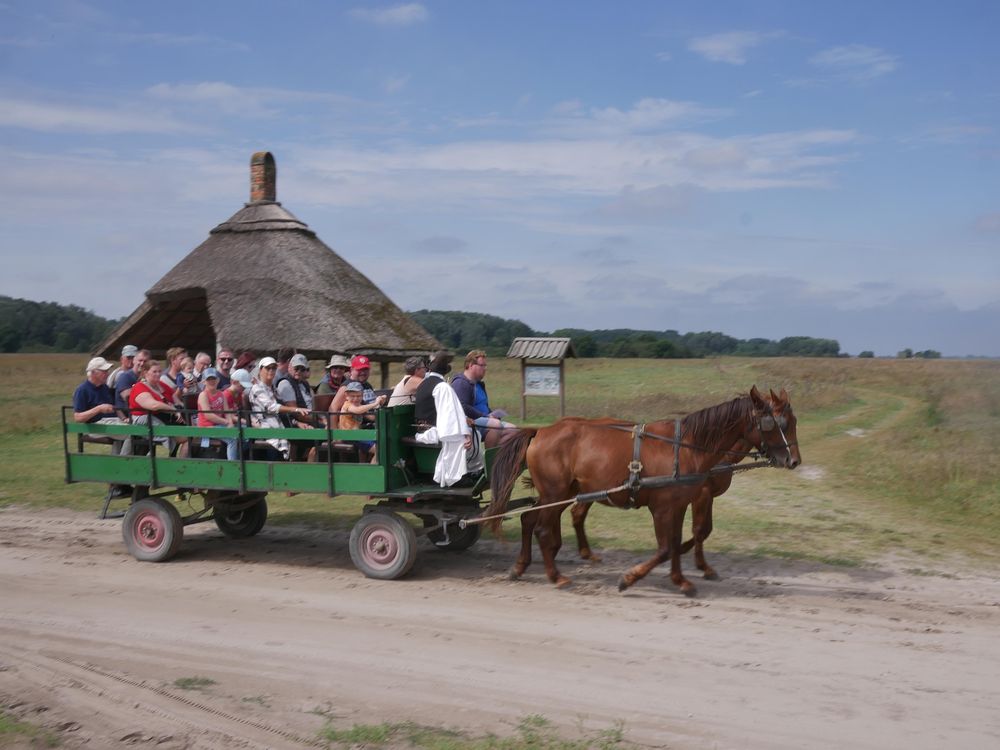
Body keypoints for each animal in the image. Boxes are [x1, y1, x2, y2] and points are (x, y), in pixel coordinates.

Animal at [482, 390, 796, 596]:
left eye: (792, 421)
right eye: (775, 424)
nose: (793, 460)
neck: (685, 447)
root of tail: (541, 431)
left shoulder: (680, 504)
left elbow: (678, 540)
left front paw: (681, 579)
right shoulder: (664, 507)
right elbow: (668, 546)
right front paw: (630, 578)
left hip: (561, 493)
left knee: (532, 521)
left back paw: (522, 566)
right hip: (554, 492)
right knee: (543, 530)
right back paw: (556, 576)